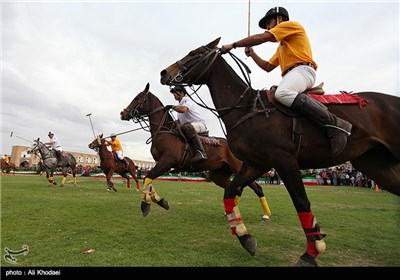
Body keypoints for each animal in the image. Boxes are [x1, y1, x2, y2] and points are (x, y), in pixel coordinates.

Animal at [159, 37, 400, 266]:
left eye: (193, 53)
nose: (164, 73)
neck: (246, 109)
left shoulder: (284, 159)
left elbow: (301, 202)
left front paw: (312, 252)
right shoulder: (257, 163)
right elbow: (231, 192)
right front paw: (245, 237)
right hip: (375, 164)